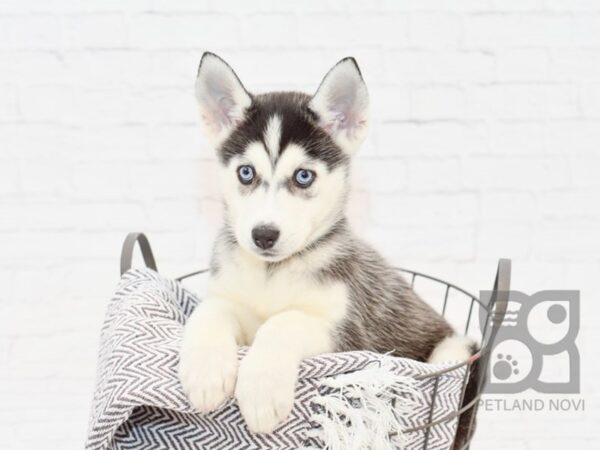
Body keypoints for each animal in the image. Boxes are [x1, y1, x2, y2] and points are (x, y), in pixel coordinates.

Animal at [178, 51, 474, 440]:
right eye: (246, 172)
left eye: (304, 176)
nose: (263, 235)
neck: (272, 274)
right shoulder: (230, 299)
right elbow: (210, 310)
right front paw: (206, 372)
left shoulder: (349, 335)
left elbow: (285, 321)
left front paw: (261, 389)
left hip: (453, 347)